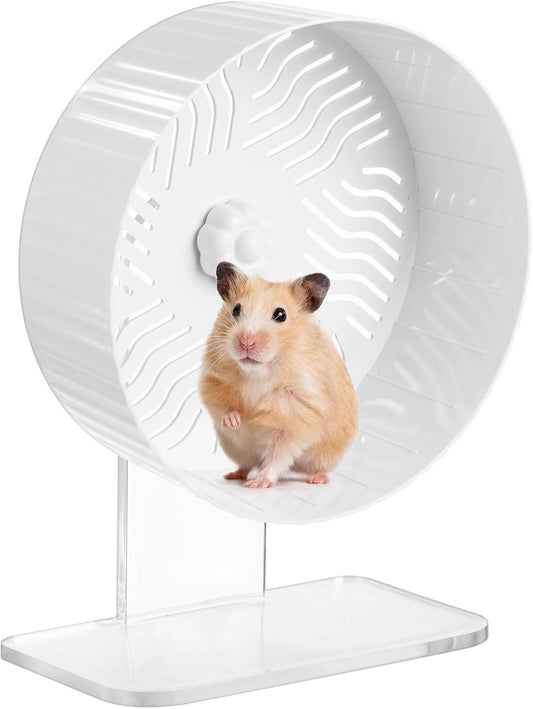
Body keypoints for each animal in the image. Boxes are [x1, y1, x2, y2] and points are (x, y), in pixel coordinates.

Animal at [199, 262, 358, 488]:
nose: (246, 342)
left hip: (328, 453)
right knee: (246, 464)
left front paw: (259, 484)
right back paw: (233, 475)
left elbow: (278, 454)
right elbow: (221, 405)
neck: (258, 372)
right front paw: (236, 421)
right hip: (236, 449)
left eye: (281, 315)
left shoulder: (298, 415)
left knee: (320, 467)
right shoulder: (212, 379)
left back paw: (316, 479)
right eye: (236, 309)